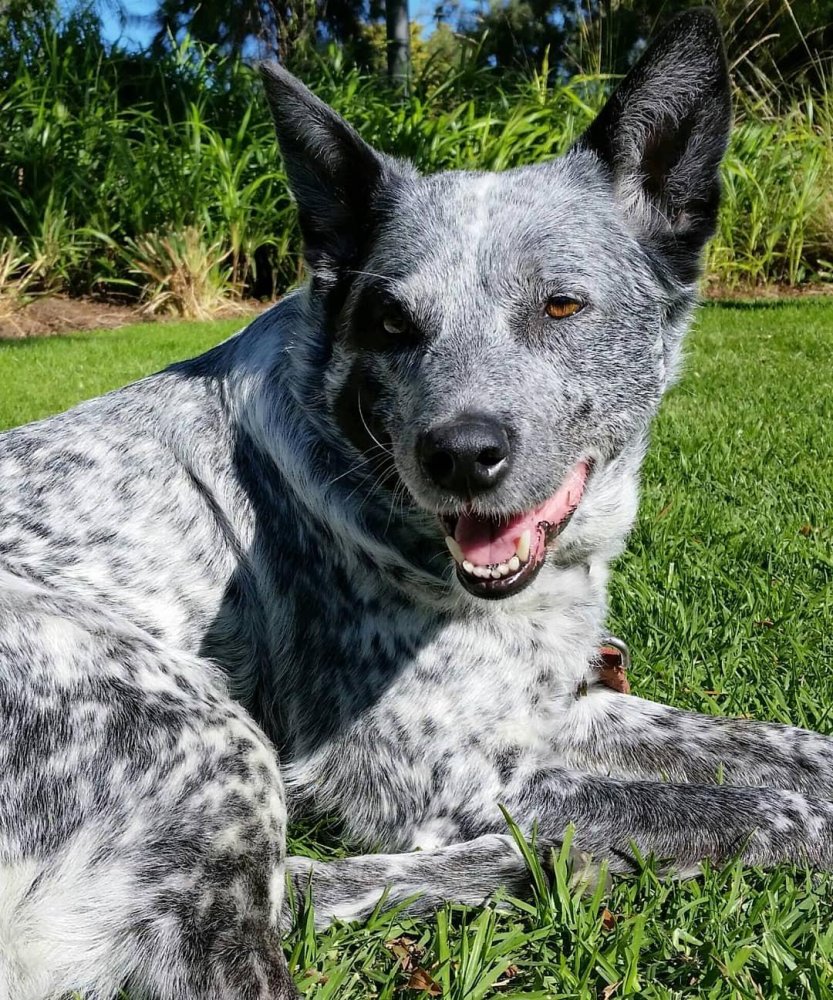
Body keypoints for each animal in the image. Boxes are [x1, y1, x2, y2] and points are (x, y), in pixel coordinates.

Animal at [1, 9, 832, 1000]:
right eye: (390, 323)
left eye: (560, 306)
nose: (459, 455)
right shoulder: (446, 775)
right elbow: (753, 806)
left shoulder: (551, 706)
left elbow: (787, 746)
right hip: (206, 733)